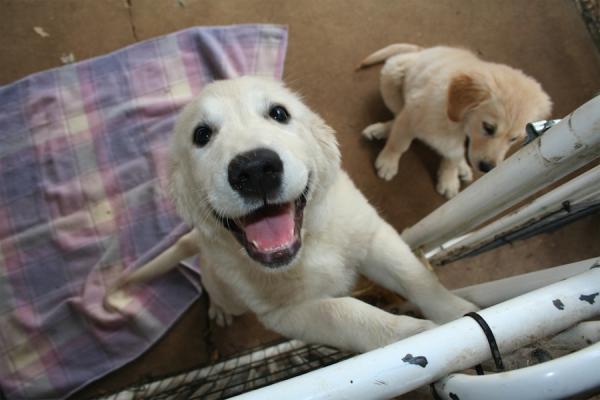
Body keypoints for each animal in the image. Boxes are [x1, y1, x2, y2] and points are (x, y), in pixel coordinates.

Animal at [105, 76, 476, 352]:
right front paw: (415, 335)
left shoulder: (375, 237)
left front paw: (461, 313)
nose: (255, 170)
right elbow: (349, 313)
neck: (309, 244)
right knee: (213, 289)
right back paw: (217, 310)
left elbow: (416, 277)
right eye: (202, 134)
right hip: (227, 289)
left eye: (279, 113)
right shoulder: (286, 313)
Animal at [358, 44, 552, 198]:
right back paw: (380, 130)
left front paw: (449, 179)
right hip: (393, 73)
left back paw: (463, 168)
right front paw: (388, 162)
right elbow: (399, 143)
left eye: (514, 139)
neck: (461, 123)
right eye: (488, 127)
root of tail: (423, 49)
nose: (487, 168)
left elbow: (454, 155)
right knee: (396, 115)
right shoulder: (411, 113)